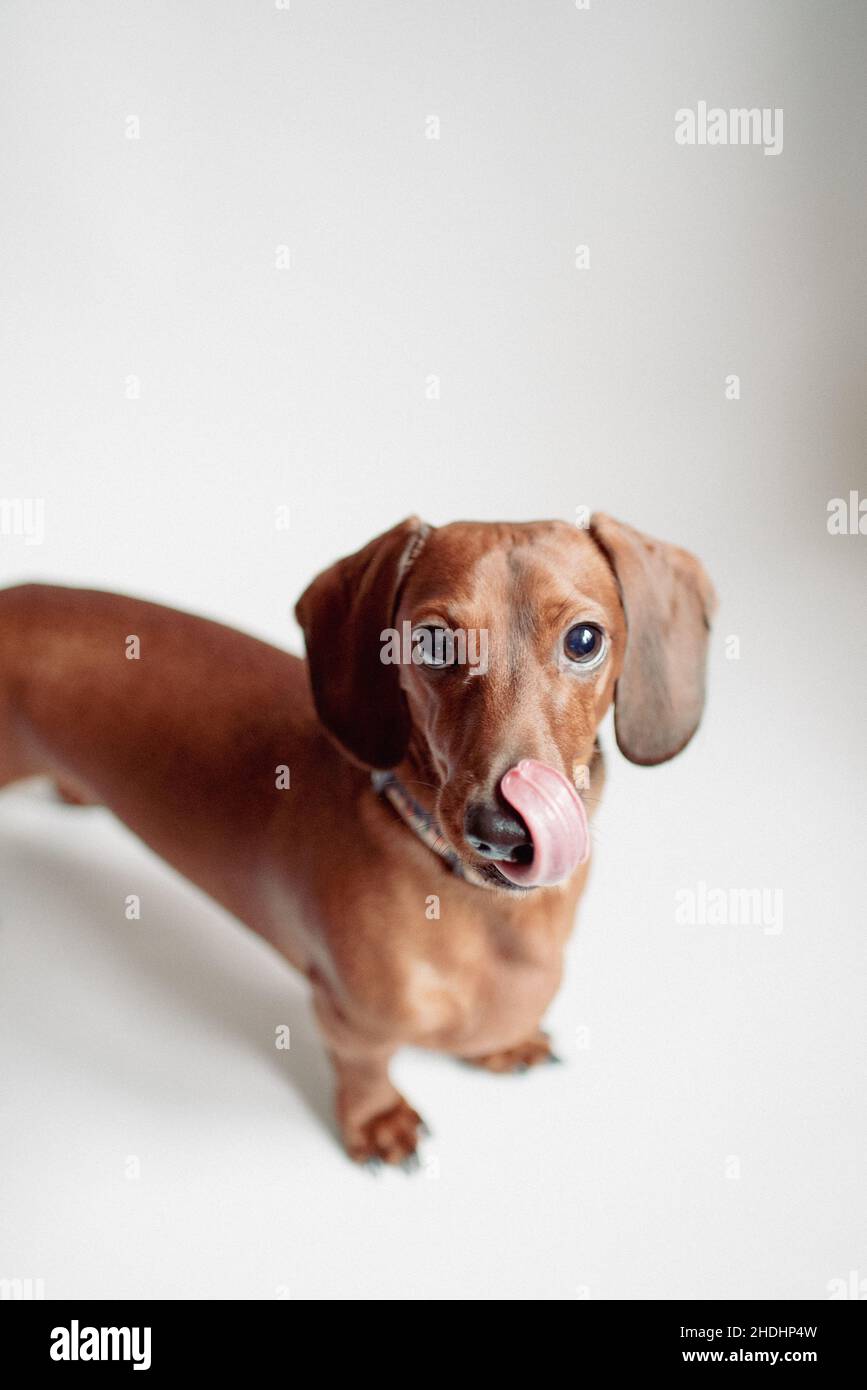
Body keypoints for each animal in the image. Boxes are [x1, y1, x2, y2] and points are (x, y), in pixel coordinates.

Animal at [3, 517, 716, 1167]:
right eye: (431, 641)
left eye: (584, 640)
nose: (503, 833)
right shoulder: (348, 1015)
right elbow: (364, 1065)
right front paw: (377, 1120)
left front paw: (501, 1044)